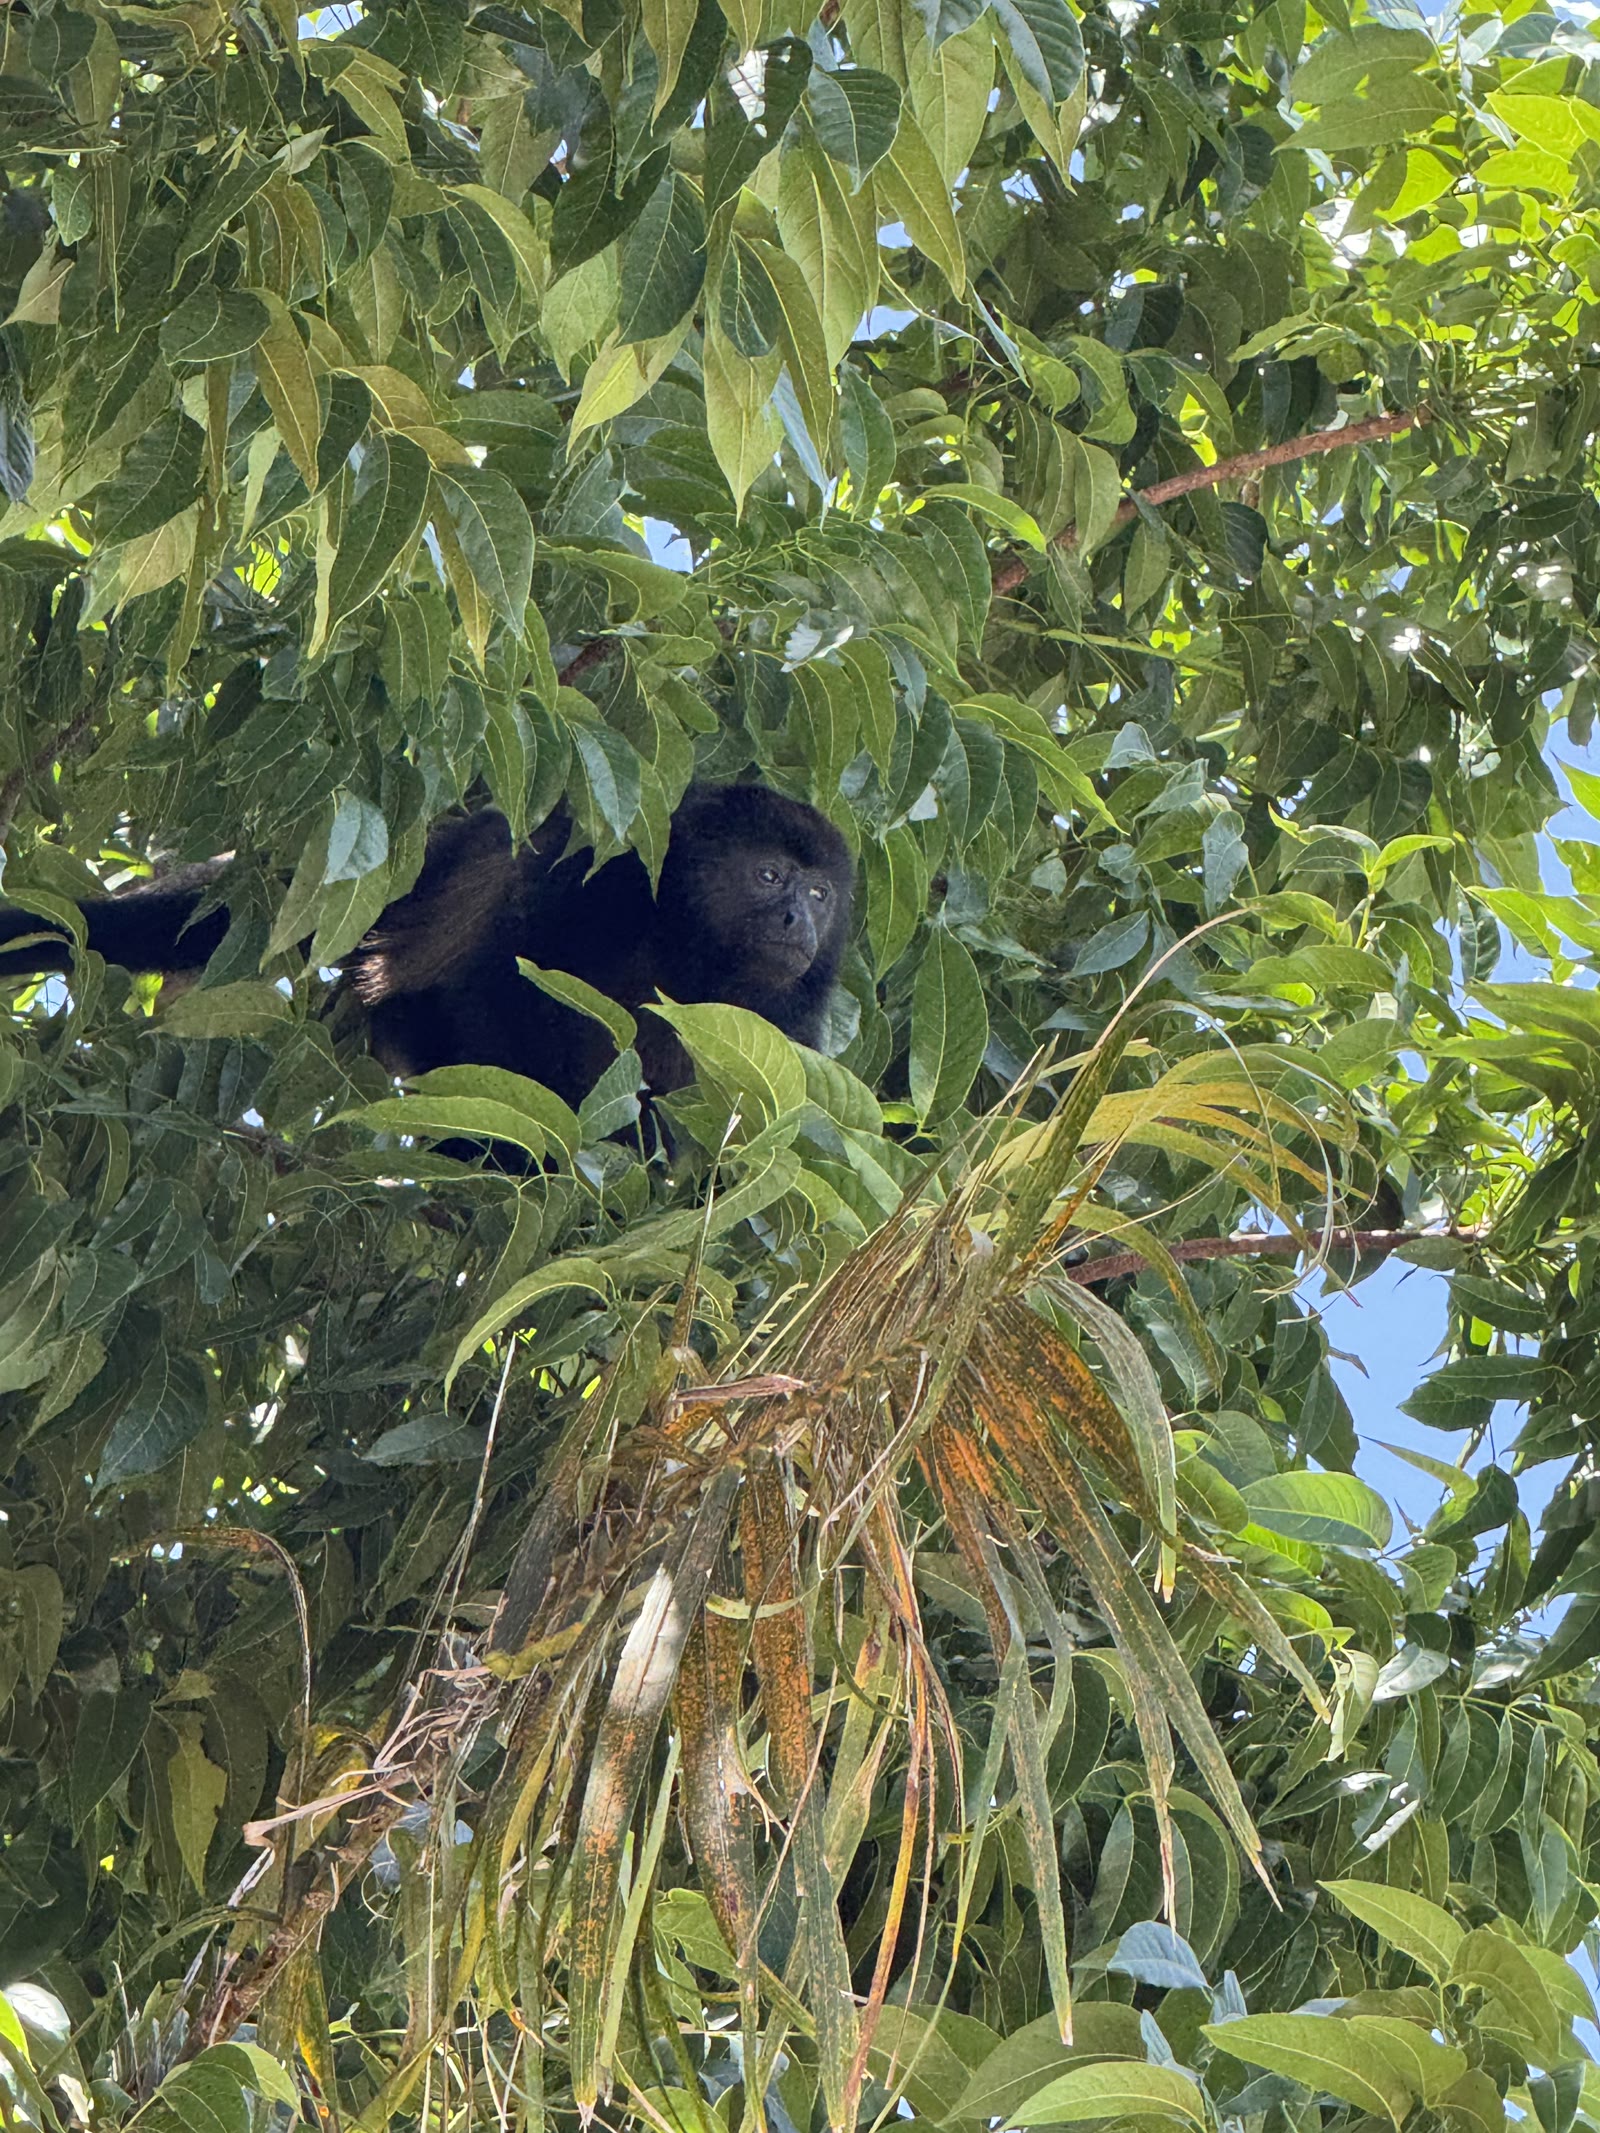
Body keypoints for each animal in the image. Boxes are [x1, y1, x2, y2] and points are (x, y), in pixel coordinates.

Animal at [0, 783, 856, 1121]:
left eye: (820, 893)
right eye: (768, 875)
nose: (799, 921)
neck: (688, 942)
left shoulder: (791, 1017)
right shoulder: (604, 880)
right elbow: (499, 974)